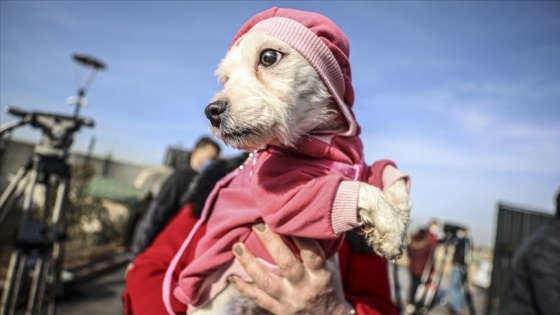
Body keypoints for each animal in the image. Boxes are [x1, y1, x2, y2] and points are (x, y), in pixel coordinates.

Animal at [167, 7, 412, 315]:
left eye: (268, 57)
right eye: (226, 78)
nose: (211, 111)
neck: (322, 139)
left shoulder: (359, 163)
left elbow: (387, 173)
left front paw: (398, 218)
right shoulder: (284, 199)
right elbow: (359, 191)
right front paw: (391, 231)